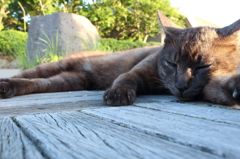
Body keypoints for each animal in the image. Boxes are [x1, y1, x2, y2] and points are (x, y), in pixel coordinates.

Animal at [0, 10, 240, 108]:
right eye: (172, 63)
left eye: (203, 66)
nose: (181, 86)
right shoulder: (137, 71)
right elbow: (125, 78)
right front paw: (118, 94)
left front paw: (235, 89)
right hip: (54, 66)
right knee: (28, 75)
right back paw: (5, 85)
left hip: (70, 80)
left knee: (37, 84)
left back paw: (8, 89)